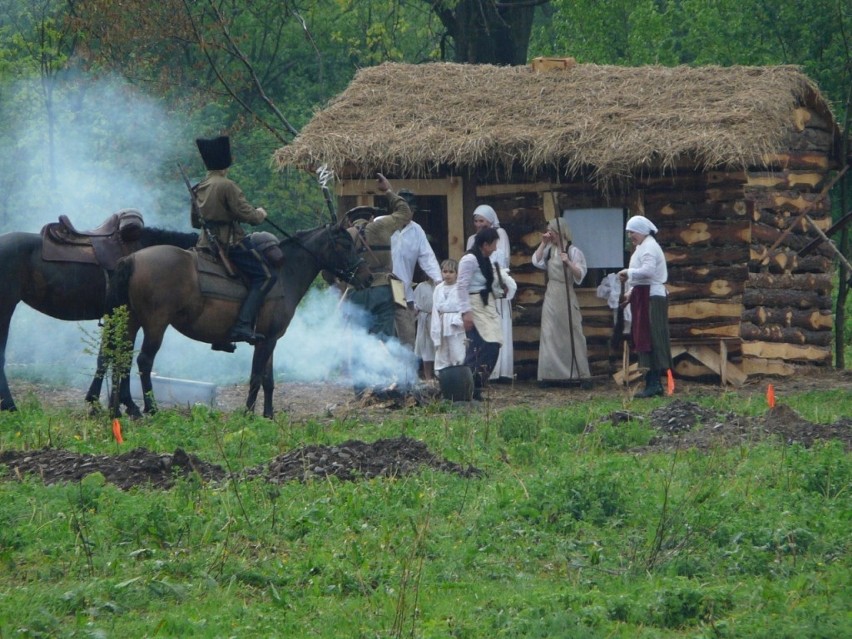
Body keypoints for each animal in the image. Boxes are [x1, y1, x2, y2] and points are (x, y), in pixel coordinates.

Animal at [0, 228, 196, 412]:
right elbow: (121, 357)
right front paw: (124, 404)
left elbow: (107, 356)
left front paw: (99, 402)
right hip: (6, 307)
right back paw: (9, 405)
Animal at [107, 221, 372, 420]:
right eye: (346, 243)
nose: (367, 277)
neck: (284, 274)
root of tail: (132, 259)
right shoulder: (267, 341)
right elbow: (255, 377)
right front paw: (248, 413)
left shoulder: (268, 340)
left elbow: (268, 380)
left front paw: (268, 415)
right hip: (155, 325)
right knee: (144, 361)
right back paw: (150, 408)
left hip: (131, 322)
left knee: (122, 358)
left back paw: (125, 408)